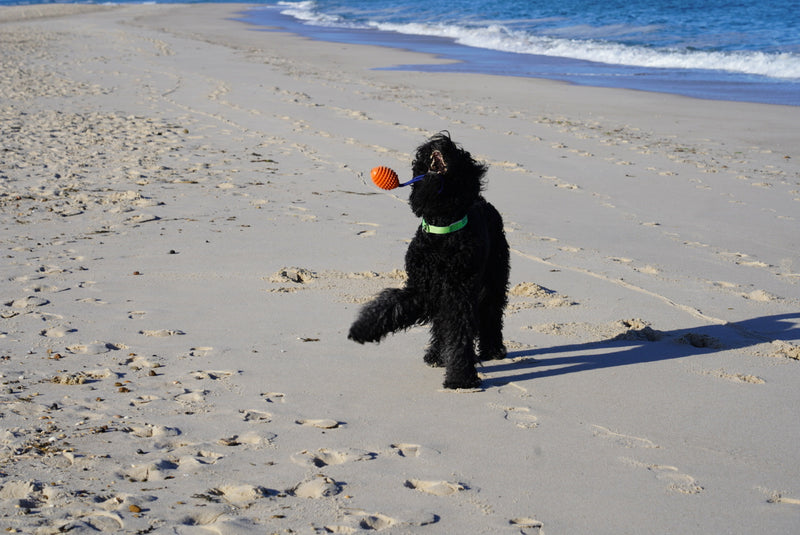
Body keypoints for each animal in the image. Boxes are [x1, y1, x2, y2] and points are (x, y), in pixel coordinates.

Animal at [346, 131, 510, 388]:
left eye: (460, 153)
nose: (441, 138)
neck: (442, 229)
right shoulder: (422, 289)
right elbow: (389, 306)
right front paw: (361, 329)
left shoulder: (458, 293)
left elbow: (459, 333)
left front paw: (460, 378)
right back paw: (435, 355)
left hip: (494, 280)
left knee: (491, 315)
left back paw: (493, 350)